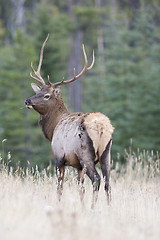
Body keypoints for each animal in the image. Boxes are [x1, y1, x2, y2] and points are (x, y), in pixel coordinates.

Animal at [24, 34, 114, 207]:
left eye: (47, 95)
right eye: (38, 91)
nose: (27, 101)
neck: (52, 129)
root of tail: (101, 127)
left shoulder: (59, 157)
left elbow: (60, 187)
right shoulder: (78, 167)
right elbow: (80, 189)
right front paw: (81, 206)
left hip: (85, 154)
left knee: (97, 179)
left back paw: (93, 207)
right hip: (106, 154)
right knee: (108, 182)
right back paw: (109, 207)